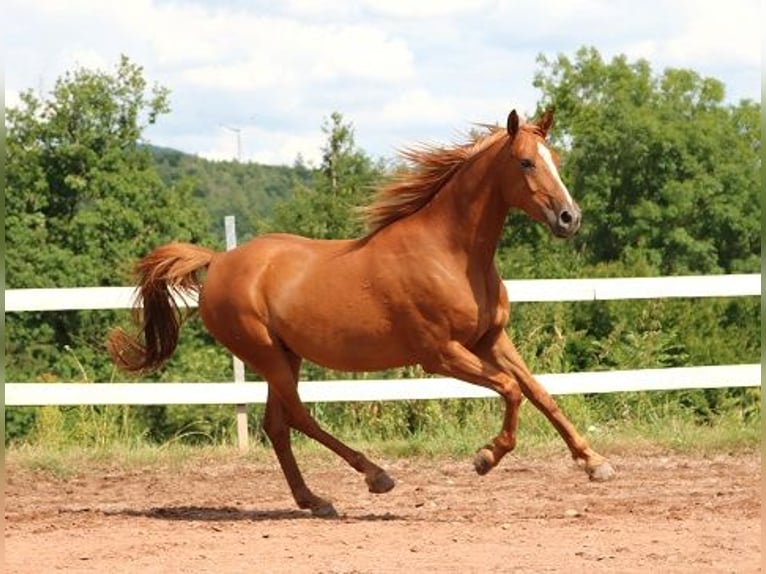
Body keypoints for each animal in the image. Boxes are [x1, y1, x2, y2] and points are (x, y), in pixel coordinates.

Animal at [108, 108, 615, 517]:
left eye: (556, 161)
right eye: (526, 161)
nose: (570, 218)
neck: (451, 255)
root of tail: (218, 261)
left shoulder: (491, 339)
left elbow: (540, 393)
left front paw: (595, 463)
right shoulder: (440, 354)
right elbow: (511, 389)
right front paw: (485, 457)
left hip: (285, 355)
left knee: (278, 425)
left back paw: (314, 500)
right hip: (266, 354)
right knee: (298, 417)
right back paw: (375, 475)